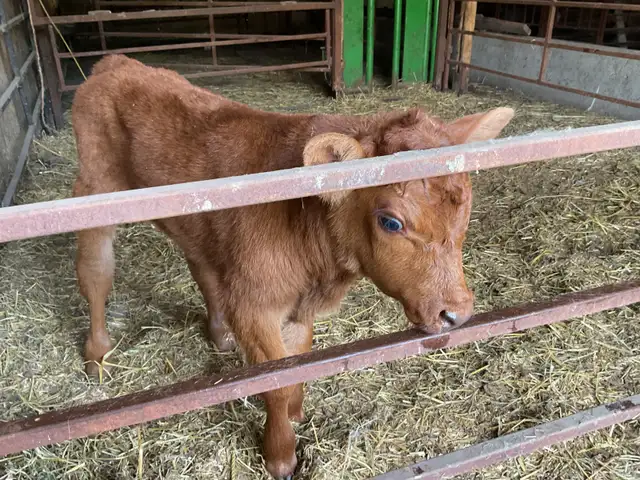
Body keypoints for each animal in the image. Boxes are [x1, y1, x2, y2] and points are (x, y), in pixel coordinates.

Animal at [71, 54, 514, 479]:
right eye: (391, 222)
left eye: (466, 206)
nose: (456, 313)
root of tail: (116, 63)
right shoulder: (254, 308)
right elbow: (275, 384)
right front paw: (280, 457)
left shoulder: (299, 308)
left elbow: (297, 365)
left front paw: (296, 413)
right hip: (96, 187)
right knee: (95, 271)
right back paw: (96, 355)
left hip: (193, 224)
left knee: (201, 265)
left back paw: (218, 334)